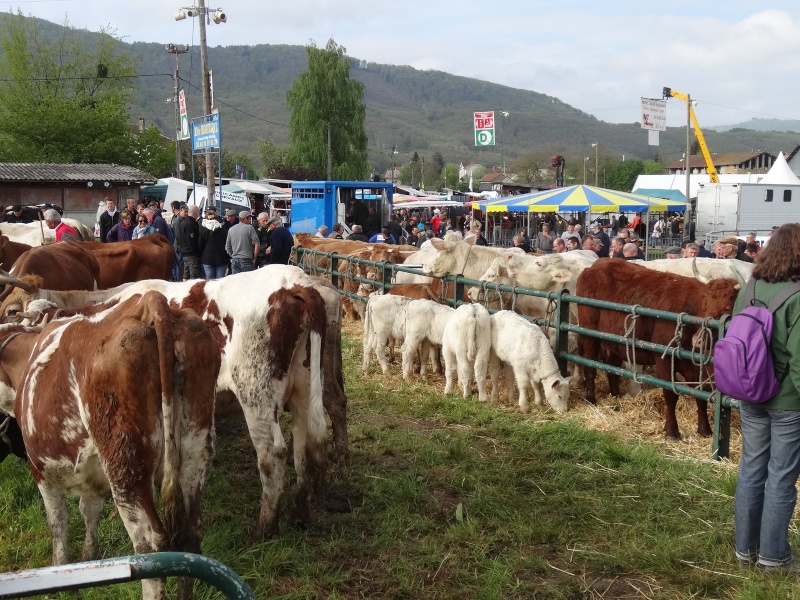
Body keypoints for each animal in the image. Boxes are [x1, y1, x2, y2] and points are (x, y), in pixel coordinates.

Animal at [0, 292, 219, 600]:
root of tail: (152, 301)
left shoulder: (39, 467)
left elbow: (58, 520)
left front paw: (59, 569)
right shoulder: (92, 474)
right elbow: (89, 510)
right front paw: (89, 557)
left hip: (125, 467)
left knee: (152, 549)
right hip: (195, 451)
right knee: (190, 538)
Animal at [576, 258, 736, 440]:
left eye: (727, 309)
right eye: (705, 305)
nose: (698, 340)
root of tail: (597, 264)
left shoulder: (697, 368)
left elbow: (700, 395)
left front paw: (705, 429)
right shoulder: (664, 361)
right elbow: (670, 395)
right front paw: (672, 430)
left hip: (613, 341)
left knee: (613, 368)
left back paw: (615, 395)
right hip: (590, 335)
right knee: (590, 367)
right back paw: (591, 399)